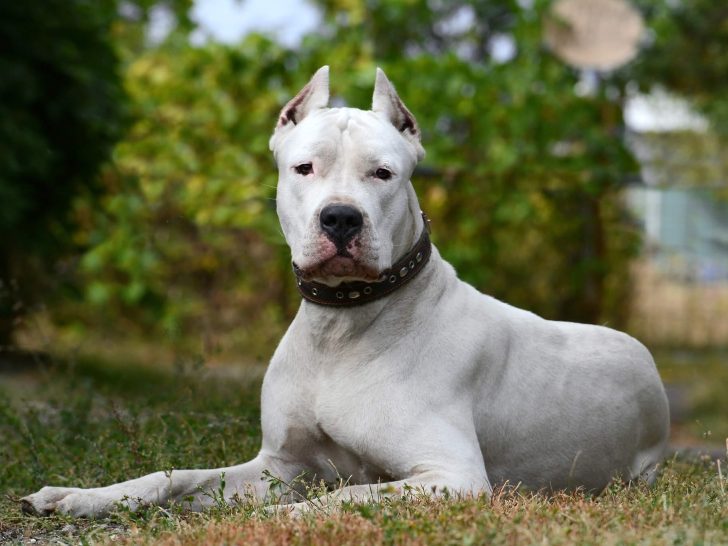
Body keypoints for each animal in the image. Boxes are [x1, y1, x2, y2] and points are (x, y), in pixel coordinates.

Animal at [22, 66, 668, 516]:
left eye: (383, 173)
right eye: (304, 168)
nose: (339, 218)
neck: (342, 326)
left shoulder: (452, 476)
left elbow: (338, 499)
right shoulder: (278, 464)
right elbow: (175, 475)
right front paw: (81, 495)